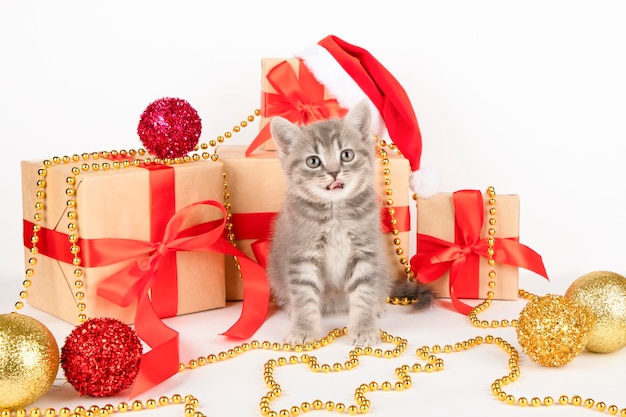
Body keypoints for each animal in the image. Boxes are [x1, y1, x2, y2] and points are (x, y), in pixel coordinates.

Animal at [266, 99, 432, 346]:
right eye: (313, 161)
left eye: (346, 155)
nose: (334, 172)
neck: (335, 212)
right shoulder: (302, 254)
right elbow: (304, 296)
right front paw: (303, 329)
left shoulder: (365, 251)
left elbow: (364, 292)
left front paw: (364, 327)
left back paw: (378, 306)